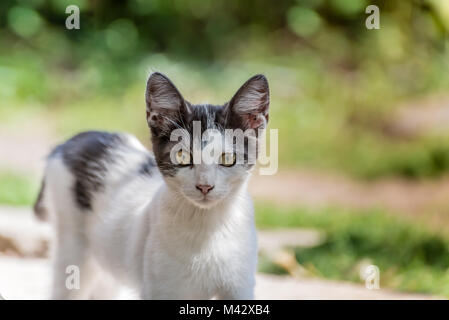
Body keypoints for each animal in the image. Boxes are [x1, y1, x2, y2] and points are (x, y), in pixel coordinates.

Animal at [34, 72, 270, 300]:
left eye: (227, 158)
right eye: (182, 156)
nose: (205, 186)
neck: (208, 228)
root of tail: (66, 144)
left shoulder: (240, 287)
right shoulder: (161, 289)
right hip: (72, 250)